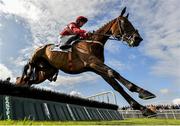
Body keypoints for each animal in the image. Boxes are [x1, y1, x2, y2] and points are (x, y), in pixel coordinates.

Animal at [16, 7, 157, 116]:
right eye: (124, 23)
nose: (138, 39)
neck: (93, 43)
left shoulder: (97, 69)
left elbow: (116, 86)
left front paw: (144, 109)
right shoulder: (92, 62)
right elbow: (114, 73)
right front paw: (142, 92)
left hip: (45, 72)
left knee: (28, 81)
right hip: (35, 63)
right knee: (24, 77)